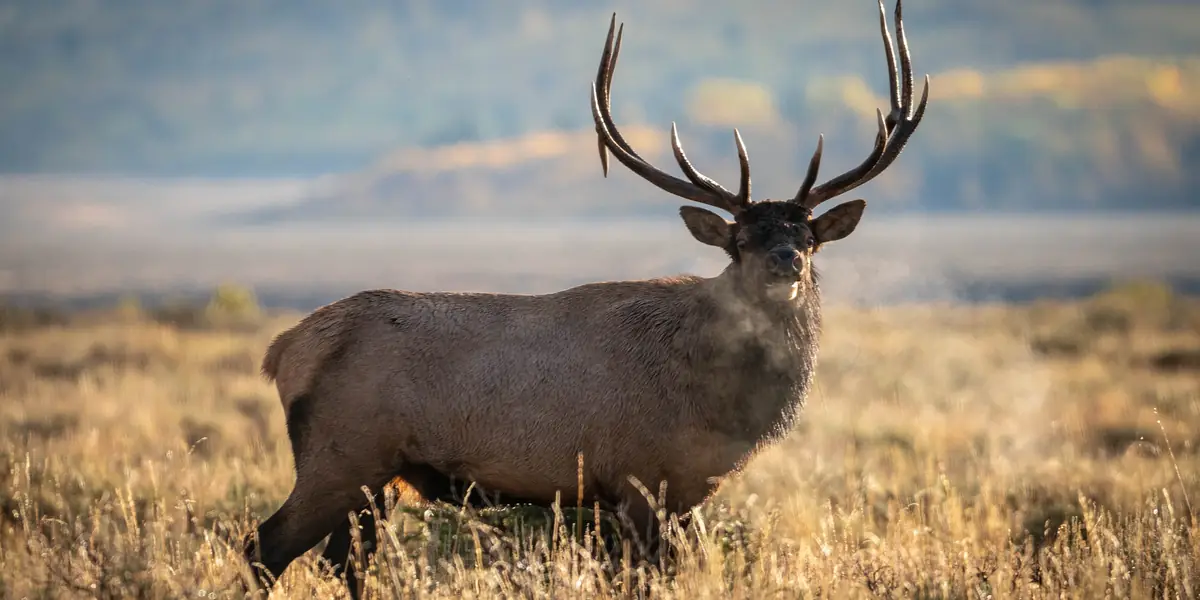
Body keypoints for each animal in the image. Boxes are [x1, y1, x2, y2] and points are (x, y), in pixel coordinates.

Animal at [241, 1, 928, 597]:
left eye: (809, 237)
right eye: (741, 241)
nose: (786, 261)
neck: (721, 409)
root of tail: (283, 351)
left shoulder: (673, 493)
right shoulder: (637, 477)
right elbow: (644, 578)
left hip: (372, 476)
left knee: (343, 560)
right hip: (341, 455)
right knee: (264, 546)